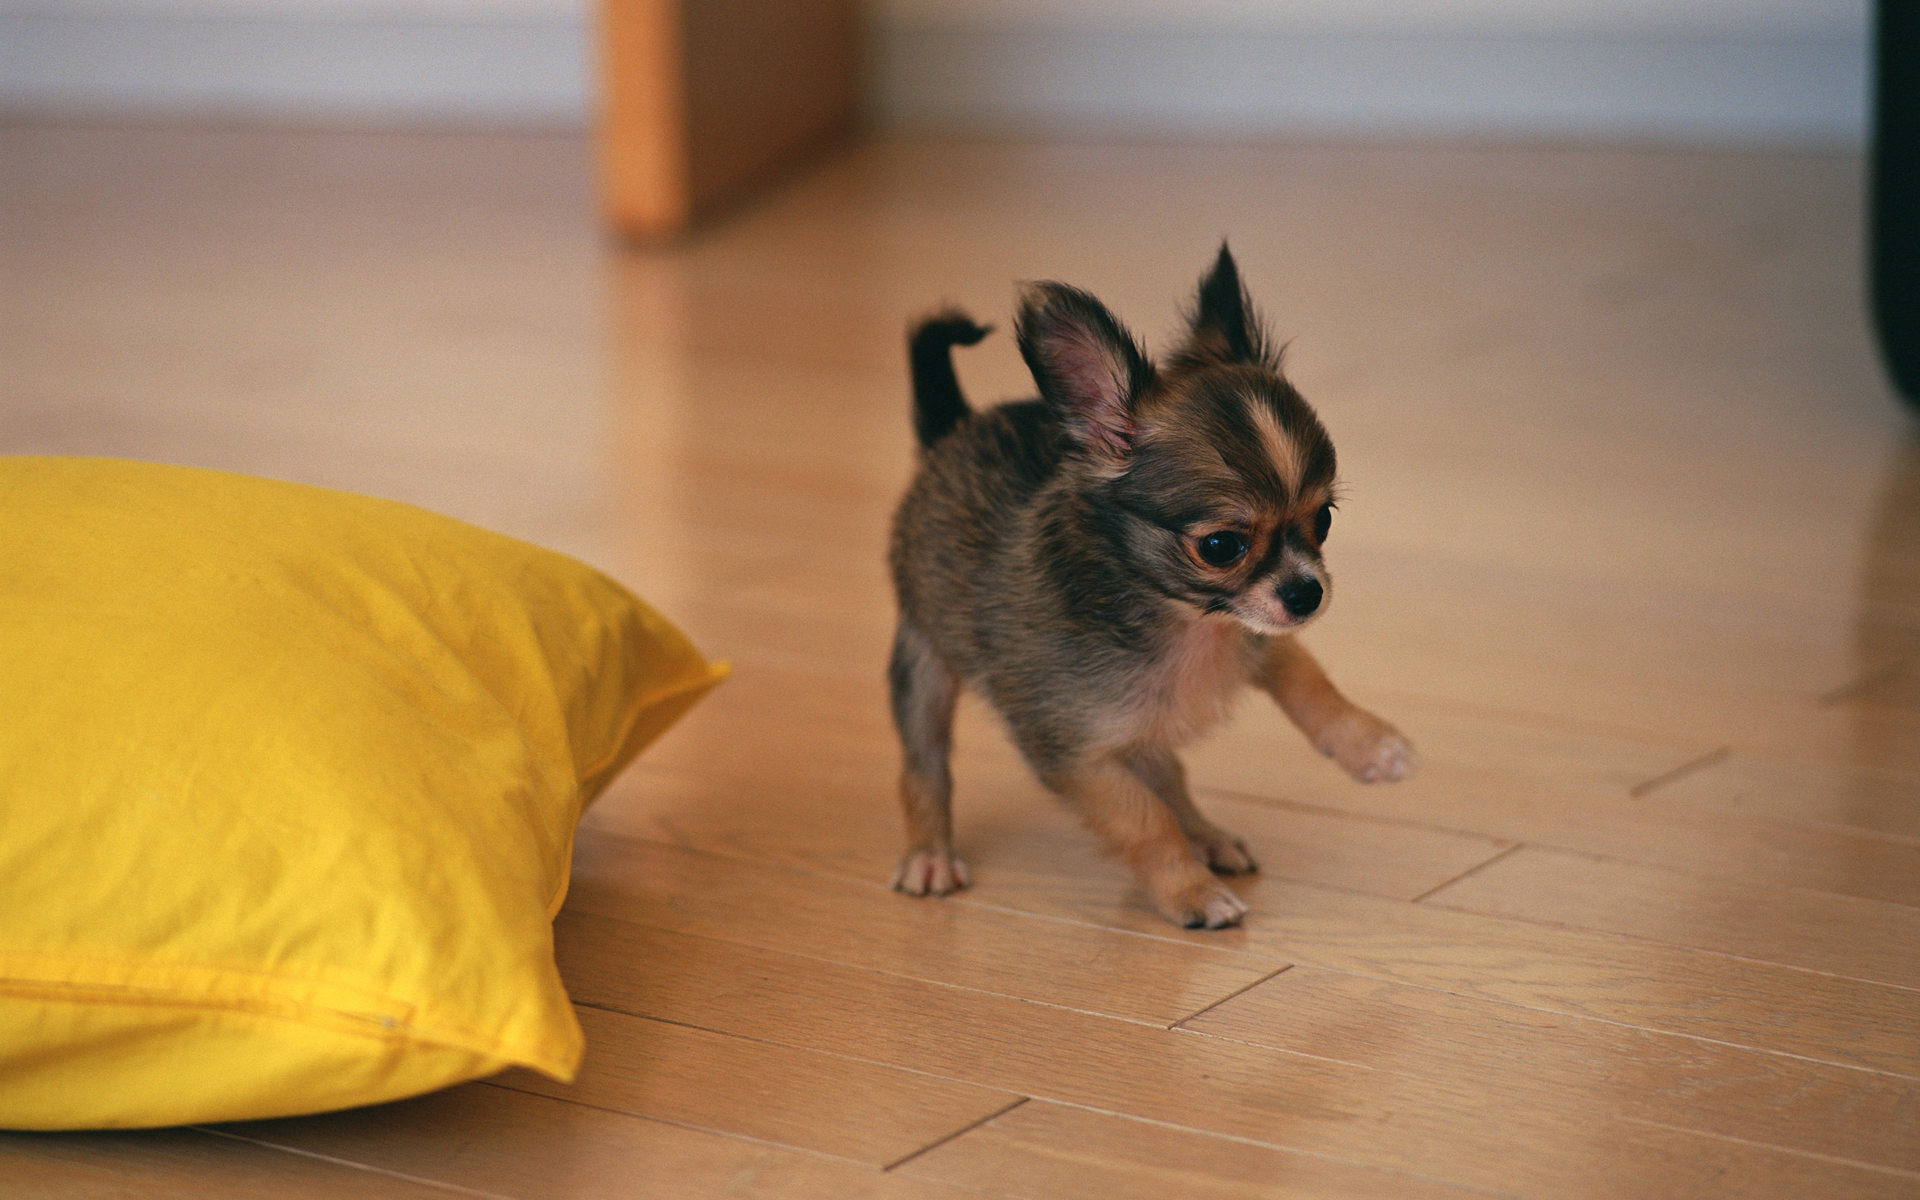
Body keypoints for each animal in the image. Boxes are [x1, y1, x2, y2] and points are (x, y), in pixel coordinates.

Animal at [883, 247, 1413, 925]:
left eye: (1322, 519)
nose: (1307, 593)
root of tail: (952, 431)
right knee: (924, 767)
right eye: (1221, 547)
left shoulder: (1255, 637)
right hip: (923, 663)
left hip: (1144, 728)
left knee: (1171, 778)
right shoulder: (1075, 753)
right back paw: (929, 854)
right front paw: (1189, 892)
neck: (1189, 621)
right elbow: (1144, 822)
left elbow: (1309, 681)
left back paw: (1210, 836)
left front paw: (1371, 747)